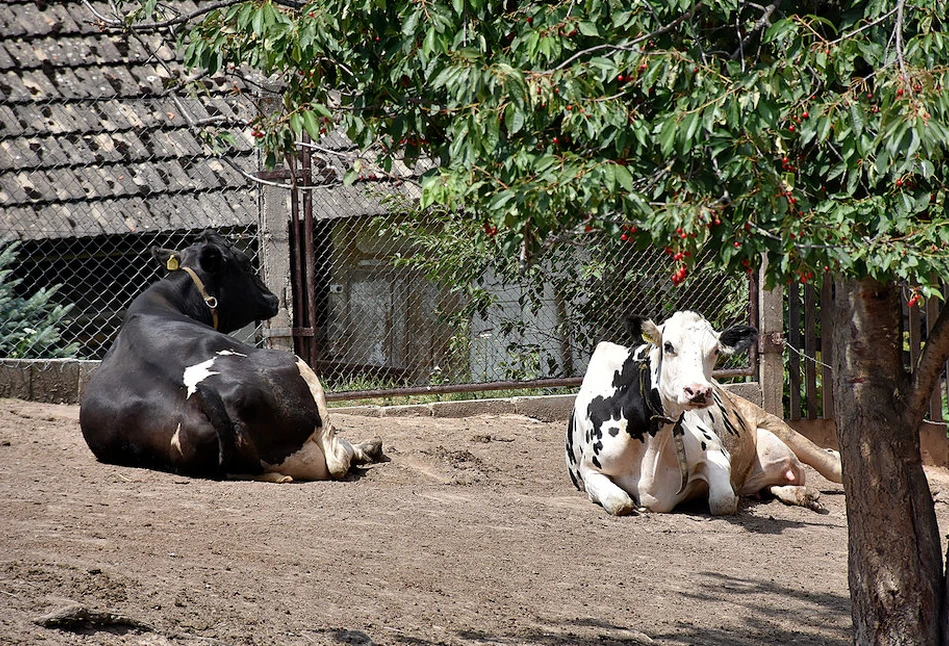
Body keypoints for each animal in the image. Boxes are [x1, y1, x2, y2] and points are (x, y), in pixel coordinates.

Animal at [78, 232, 382, 480]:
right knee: (335, 459)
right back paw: (369, 447)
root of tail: (203, 394)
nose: (273, 299)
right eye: (246, 263)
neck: (164, 302)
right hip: (299, 368)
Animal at [564, 312, 836, 520]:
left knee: (831, 462)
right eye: (668, 346)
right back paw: (804, 495)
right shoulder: (589, 470)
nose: (698, 391)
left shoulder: (716, 453)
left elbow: (724, 500)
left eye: (715, 350)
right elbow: (620, 502)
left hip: (772, 422)